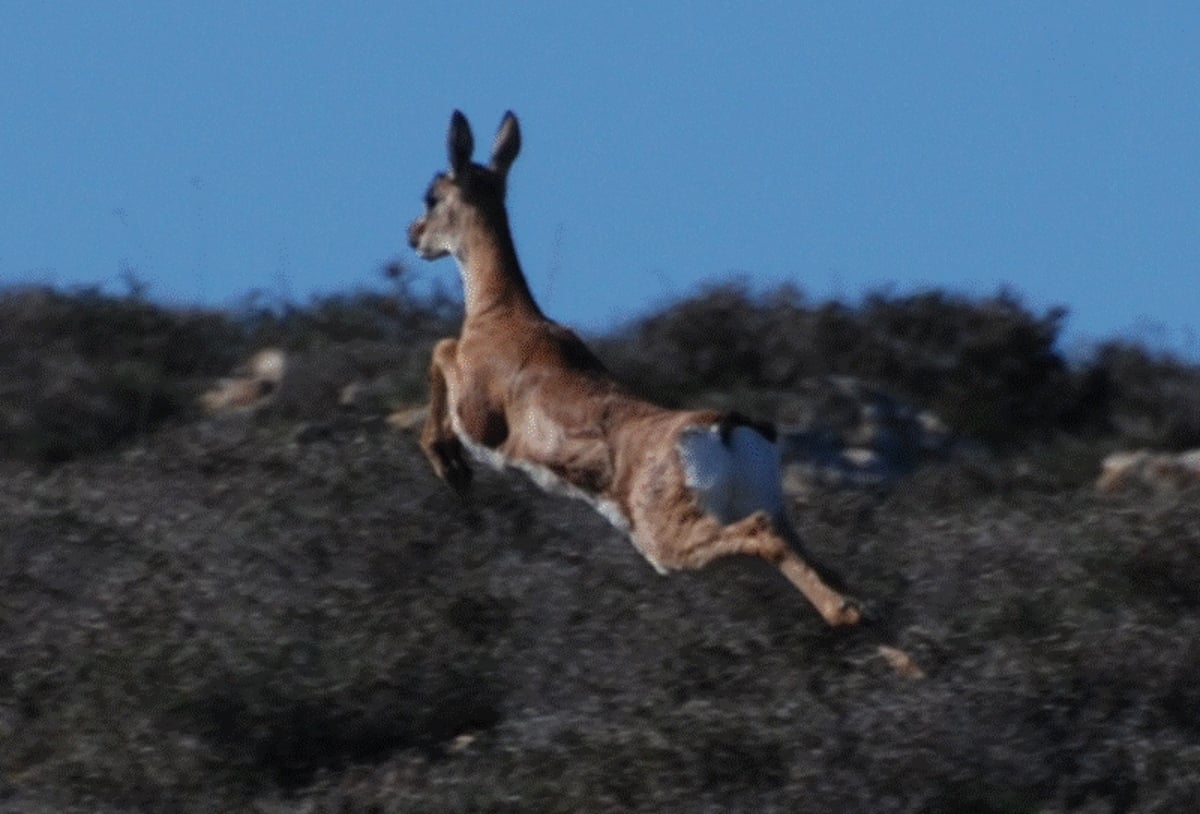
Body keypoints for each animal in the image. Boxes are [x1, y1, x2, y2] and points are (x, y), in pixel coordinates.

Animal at [410, 109, 864, 629]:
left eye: (432, 194)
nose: (412, 235)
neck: (503, 315)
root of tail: (726, 426)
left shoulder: (479, 416)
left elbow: (441, 349)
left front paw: (451, 467)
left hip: (668, 542)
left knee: (762, 532)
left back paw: (845, 616)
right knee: (820, 562)